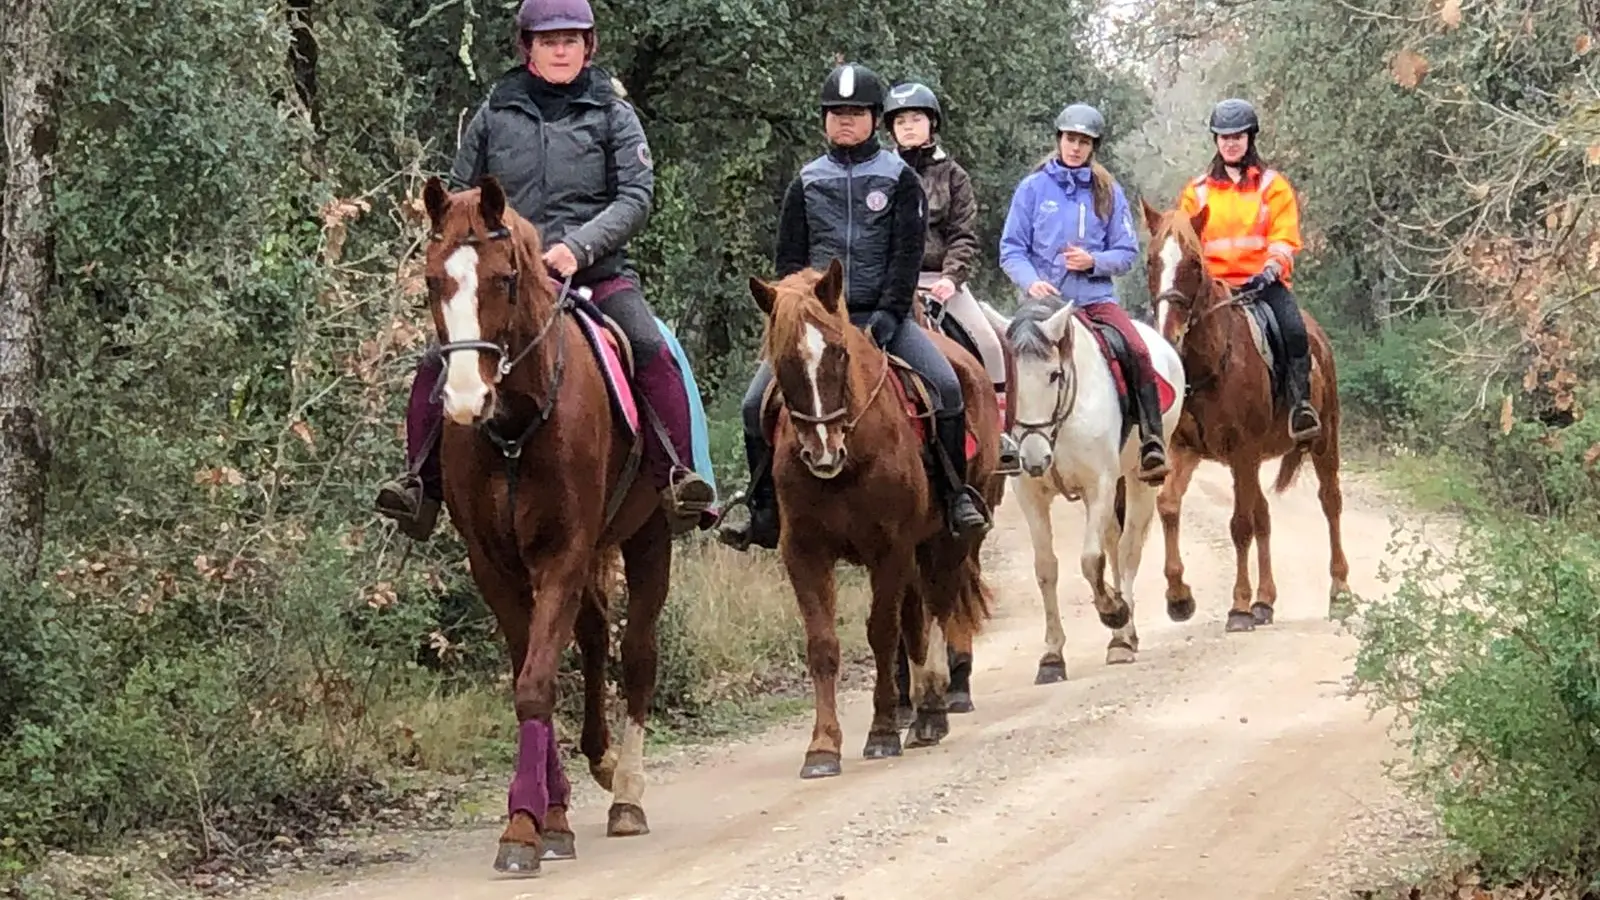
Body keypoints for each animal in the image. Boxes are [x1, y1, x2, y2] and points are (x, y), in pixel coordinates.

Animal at [419, 173, 675, 871]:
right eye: (432, 280)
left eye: (505, 279)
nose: (464, 399)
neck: (514, 426)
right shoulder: (495, 563)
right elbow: (529, 675)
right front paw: (545, 817)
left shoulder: (563, 552)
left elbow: (535, 682)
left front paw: (524, 828)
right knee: (592, 635)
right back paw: (602, 761)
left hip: (649, 537)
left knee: (636, 654)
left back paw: (627, 794)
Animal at [745, 261, 992, 778]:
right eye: (782, 360)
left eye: (838, 351)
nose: (823, 453)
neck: (853, 456)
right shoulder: (803, 552)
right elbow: (823, 645)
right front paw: (822, 747)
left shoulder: (890, 549)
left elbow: (882, 632)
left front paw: (881, 733)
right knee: (918, 618)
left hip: (946, 541)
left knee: (938, 609)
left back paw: (935, 708)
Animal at [979, 297, 1184, 675]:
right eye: (1011, 380)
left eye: (1054, 375)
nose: (1033, 457)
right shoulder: (1030, 495)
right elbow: (1046, 568)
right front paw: (1051, 655)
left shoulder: (1098, 485)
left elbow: (1091, 560)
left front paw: (1114, 613)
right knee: (1114, 542)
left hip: (1139, 479)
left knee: (1128, 547)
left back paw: (1123, 635)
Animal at [1139, 197, 1350, 630]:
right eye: (1151, 261)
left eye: (1194, 263)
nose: (1168, 334)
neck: (1207, 366)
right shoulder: (1185, 450)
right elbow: (1168, 505)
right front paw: (1179, 597)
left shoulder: (1242, 453)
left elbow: (1239, 526)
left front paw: (1237, 606)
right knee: (1264, 516)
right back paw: (1265, 601)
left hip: (1323, 440)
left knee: (1330, 502)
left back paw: (1339, 590)